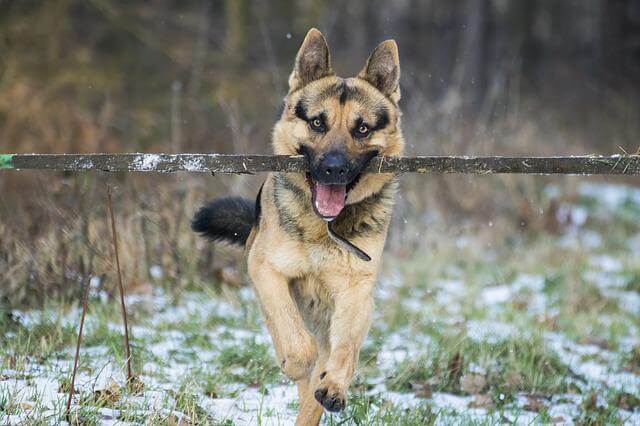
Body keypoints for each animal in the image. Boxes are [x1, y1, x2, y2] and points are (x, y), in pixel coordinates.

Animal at [191, 28, 404, 424]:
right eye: (318, 123)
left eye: (361, 128)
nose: (334, 168)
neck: (323, 227)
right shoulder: (266, 270)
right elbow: (293, 335)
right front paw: (295, 362)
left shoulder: (357, 292)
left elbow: (345, 349)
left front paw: (334, 385)